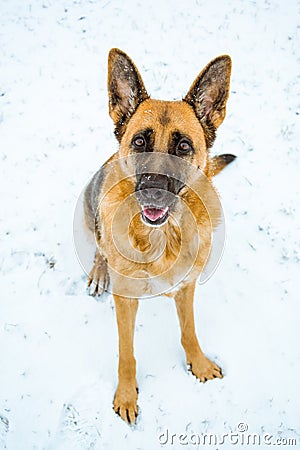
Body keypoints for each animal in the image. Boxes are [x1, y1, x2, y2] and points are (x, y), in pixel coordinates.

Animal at [83, 47, 236, 424]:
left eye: (183, 147)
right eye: (139, 142)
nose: (153, 190)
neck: (162, 238)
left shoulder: (187, 287)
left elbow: (189, 331)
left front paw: (198, 364)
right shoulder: (125, 301)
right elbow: (126, 352)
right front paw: (126, 394)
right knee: (98, 249)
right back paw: (98, 272)